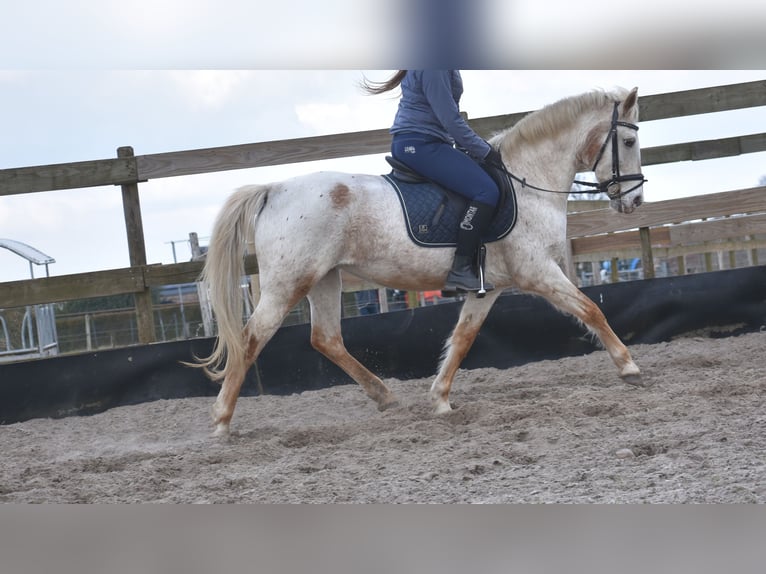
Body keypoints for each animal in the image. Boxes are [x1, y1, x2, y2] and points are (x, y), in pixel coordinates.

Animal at [194, 85, 648, 436]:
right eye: (628, 142)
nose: (636, 200)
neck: (527, 182)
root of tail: (273, 189)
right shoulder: (537, 271)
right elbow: (590, 309)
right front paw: (628, 367)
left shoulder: (488, 288)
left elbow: (463, 338)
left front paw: (441, 400)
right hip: (288, 282)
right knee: (251, 339)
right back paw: (221, 421)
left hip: (324, 279)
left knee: (326, 339)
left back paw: (384, 396)